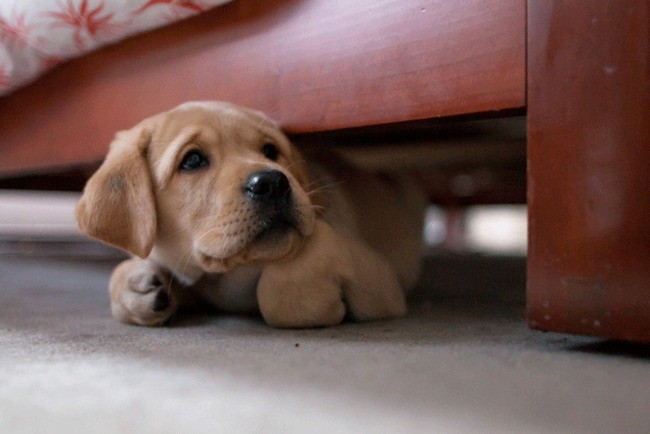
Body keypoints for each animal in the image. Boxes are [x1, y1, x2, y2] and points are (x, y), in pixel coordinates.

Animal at [76, 101, 426, 327]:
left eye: (270, 151)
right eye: (192, 160)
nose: (272, 183)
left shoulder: (382, 279)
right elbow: (125, 272)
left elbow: (287, 282)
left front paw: (317, 302)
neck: (230, 275)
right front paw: (138, 283)